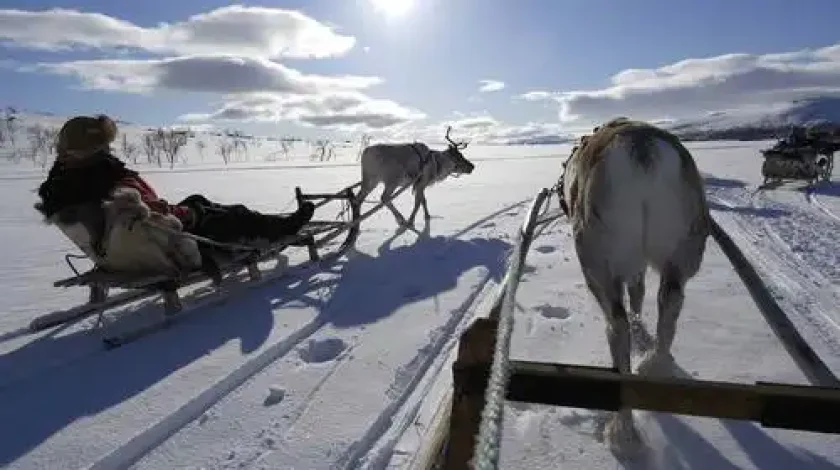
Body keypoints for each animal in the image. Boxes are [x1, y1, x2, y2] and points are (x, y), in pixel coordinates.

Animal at [557, 117, 711, 455]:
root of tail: (642, 148)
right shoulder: (640, 265)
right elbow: (639, 295)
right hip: (682, 254)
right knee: (670, 303)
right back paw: (656, 366)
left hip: (599, 266)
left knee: (617, 326)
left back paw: (623, 431)